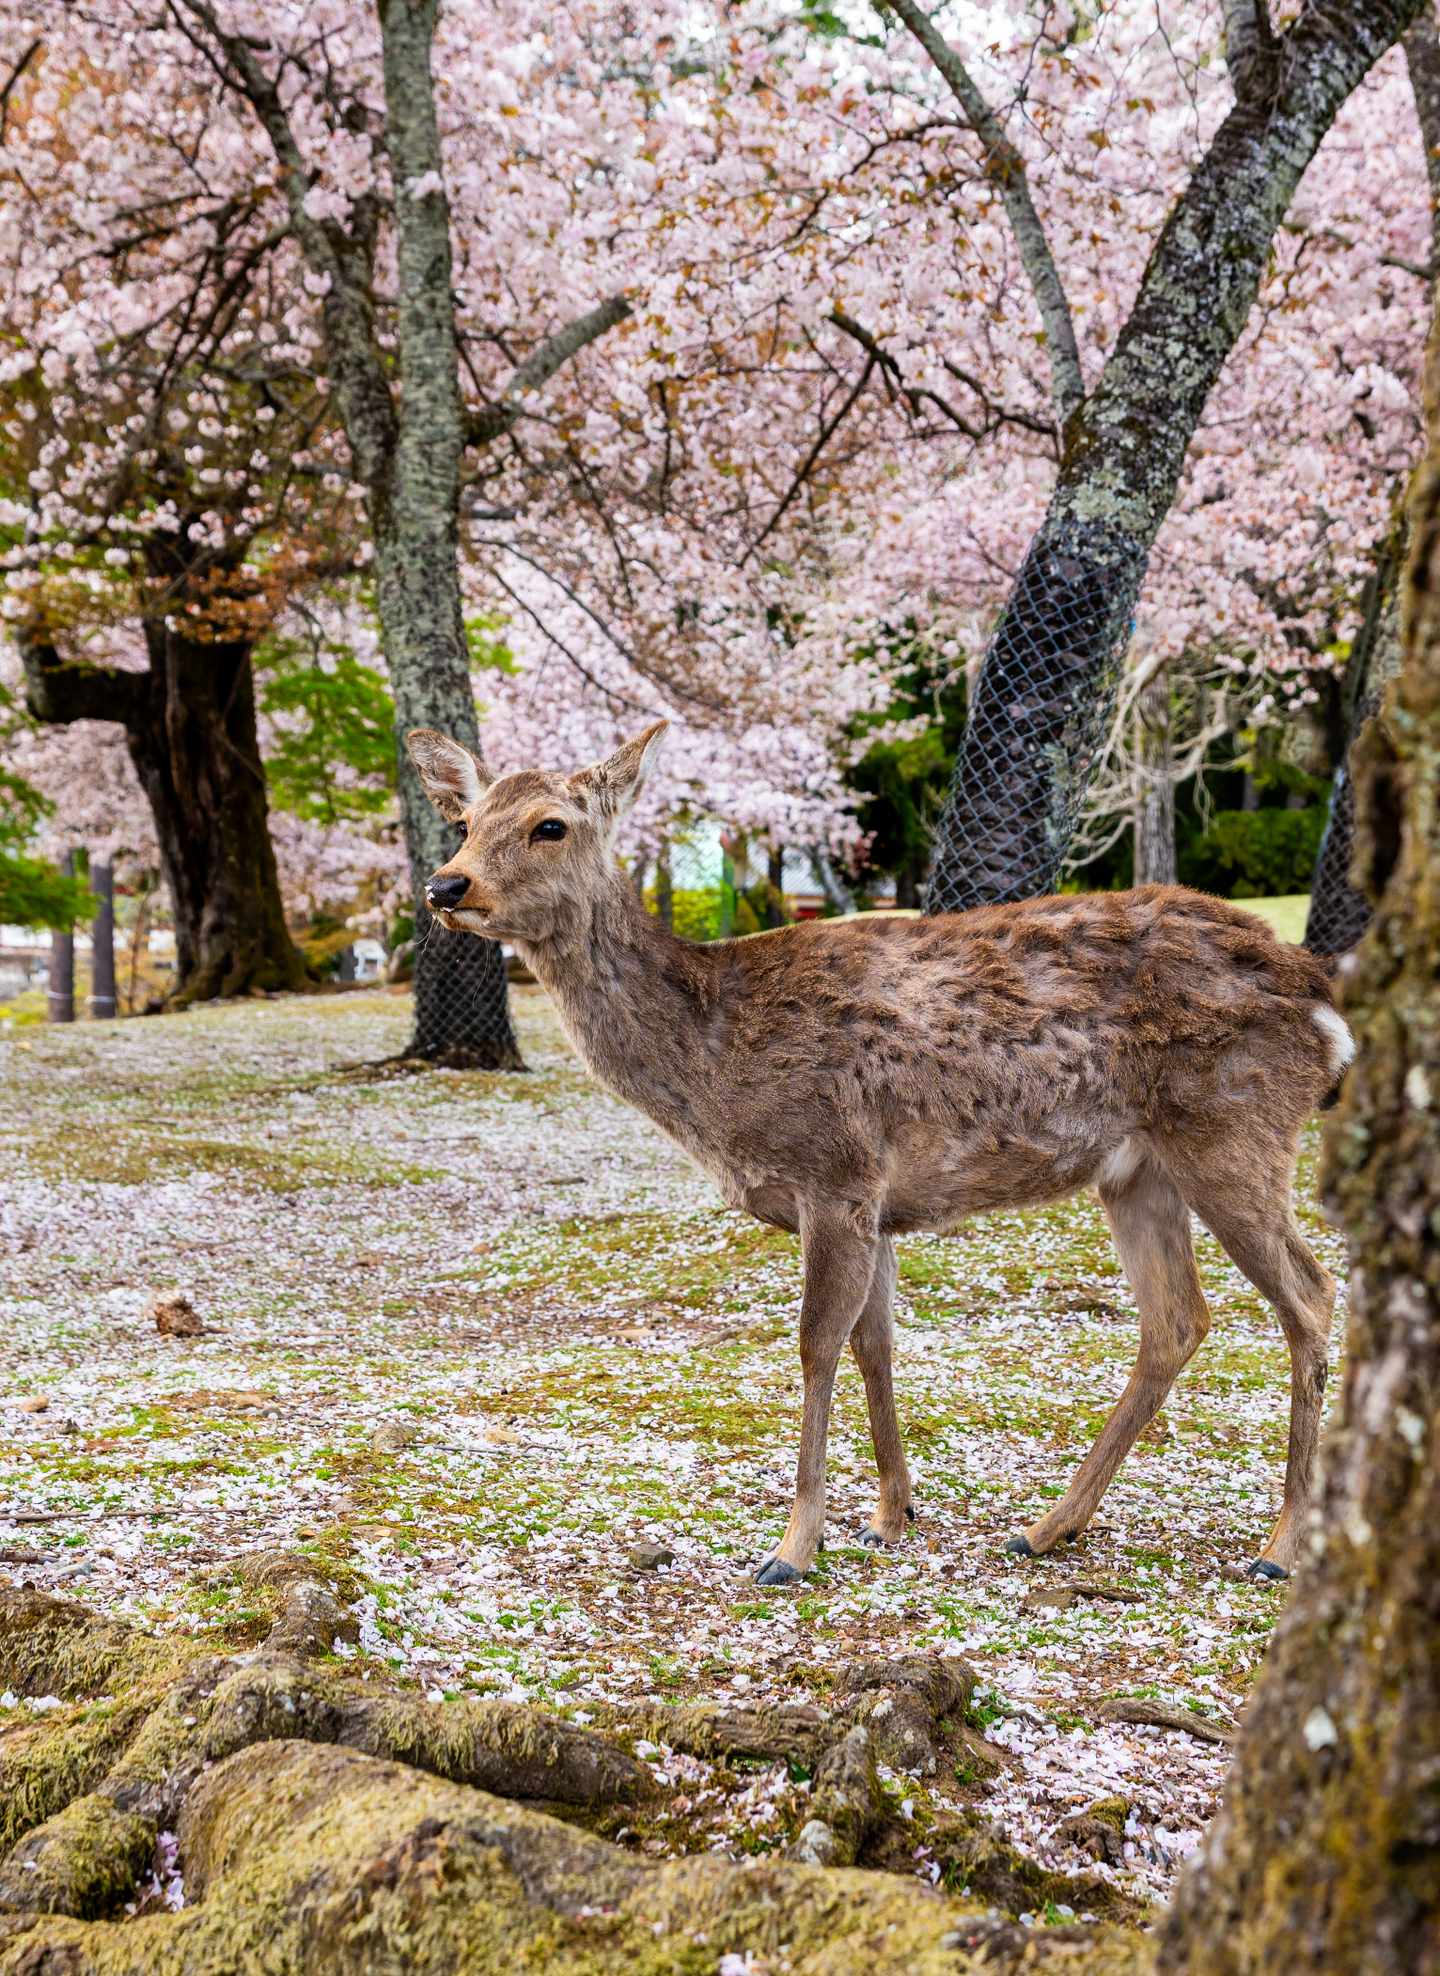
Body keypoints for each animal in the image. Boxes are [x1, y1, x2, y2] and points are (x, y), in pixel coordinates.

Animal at [407, 721, 1354, 1589]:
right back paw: (1049, 1527)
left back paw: (1278, 1547)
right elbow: (876, 1344)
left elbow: (815, 1344)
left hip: (1235, 1129)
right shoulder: (879, 1206)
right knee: (1177, 1319)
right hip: (1139, 1171)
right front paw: (890, 1513)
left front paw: (792, 1547)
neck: (718, 1065)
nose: (446, 883)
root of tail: (1322, 1003)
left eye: (551, 824)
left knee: (1310, 1292)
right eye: (464, 818)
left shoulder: (834, 1171)